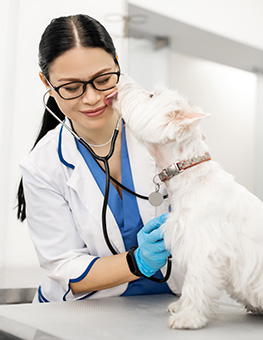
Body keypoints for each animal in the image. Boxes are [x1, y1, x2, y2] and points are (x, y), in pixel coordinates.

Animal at [114, 75, 263, 328]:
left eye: (151, 95)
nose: (119, 79)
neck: (189, 175)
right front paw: (180, 307)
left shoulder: (204, 248)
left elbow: (195, 282)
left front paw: (189, 316)